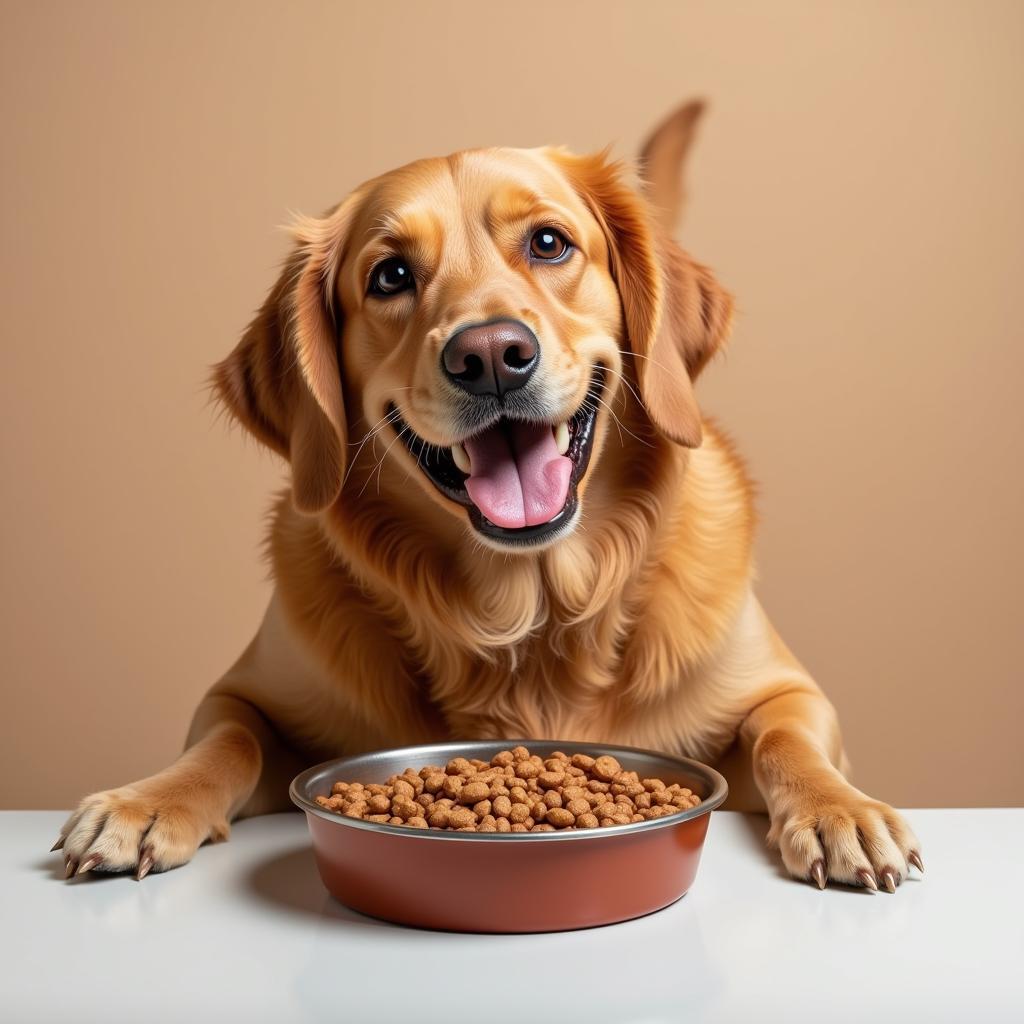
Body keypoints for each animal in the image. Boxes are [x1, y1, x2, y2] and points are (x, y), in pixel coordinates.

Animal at [54, 99, 921, 892]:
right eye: (391, 276)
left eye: (549, 242)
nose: (493, 356)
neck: (529, 621)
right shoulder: (240, 694)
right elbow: (226, 740)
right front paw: (147, 801)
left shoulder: (787, 692)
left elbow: (787, 738)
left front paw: (841, 810)